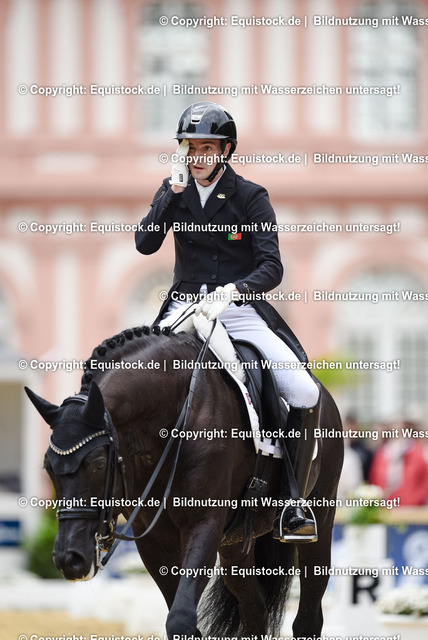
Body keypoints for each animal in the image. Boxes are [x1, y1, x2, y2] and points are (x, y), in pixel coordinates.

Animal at [25, 323, 343, 639]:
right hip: (235, 545)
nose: (69, 560)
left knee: (307, 618)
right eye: (48, 467)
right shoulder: (153, 539)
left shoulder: (203, 524)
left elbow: (179, 619)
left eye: (98, 464)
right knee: (255, 611)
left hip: (320, 519)